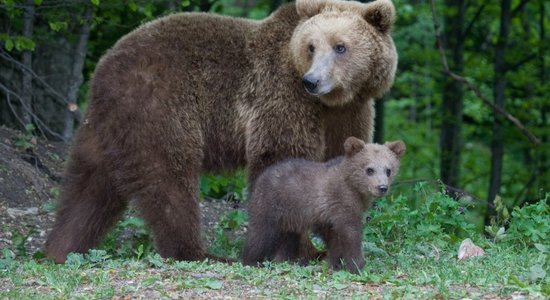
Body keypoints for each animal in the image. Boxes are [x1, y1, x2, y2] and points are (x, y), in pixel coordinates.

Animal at [43, 0, 396, 262]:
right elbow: (281, 160)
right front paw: (300, 251)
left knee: (88, 186)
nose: (312, 80)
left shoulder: (348, 114)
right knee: (169, 180)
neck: (331, 101)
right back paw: (197, 252)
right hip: (161, 105)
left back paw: (60, 248)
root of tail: (104, 66)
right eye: (311, 46)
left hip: (104, 127)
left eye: (340, 47)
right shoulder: (282, 97)